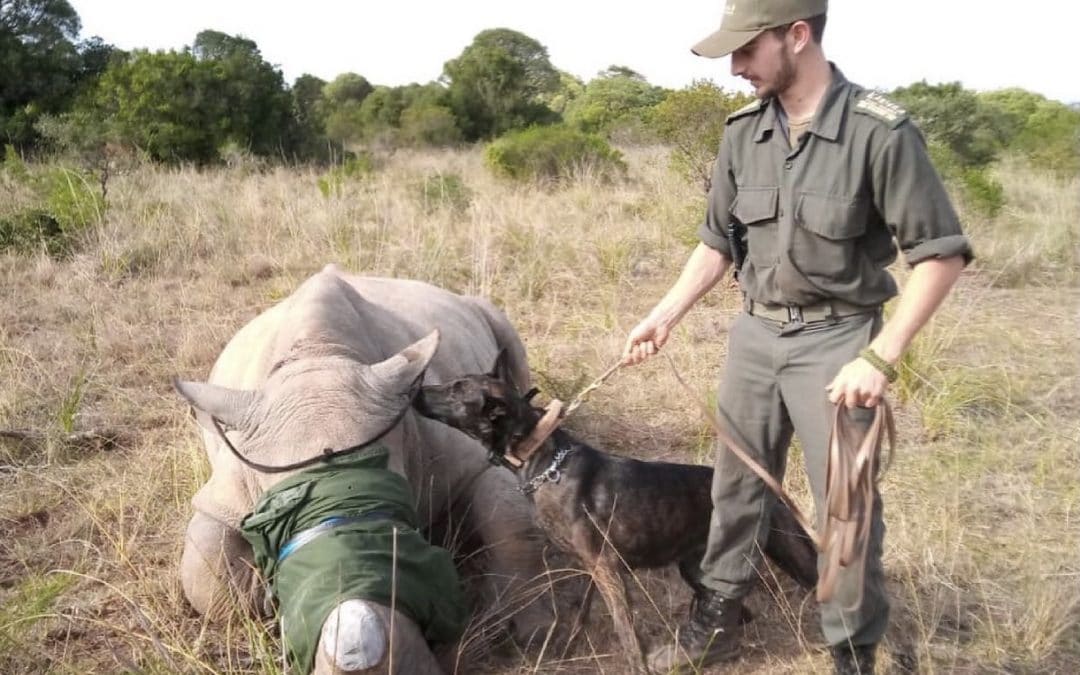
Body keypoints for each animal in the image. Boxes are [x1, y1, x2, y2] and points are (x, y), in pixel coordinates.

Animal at [176, 265, 552, 669]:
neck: (319, 357)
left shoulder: (463, 458)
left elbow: (513, 525)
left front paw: (530, 633)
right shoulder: (228, 491)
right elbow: (206, 575)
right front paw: (269, 608)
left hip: (482, 312)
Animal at [412, 349, 816, 669]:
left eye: (456, 389)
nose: (416, 390)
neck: (545, 460)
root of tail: (770, 487)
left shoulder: (606, 568)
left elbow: (625, 631)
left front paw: (637, 666)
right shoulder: (593, 567)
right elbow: (582, 615)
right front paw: (568, 649)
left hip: (792, 552)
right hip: (695, 568)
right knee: (736, 611)